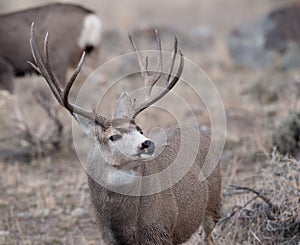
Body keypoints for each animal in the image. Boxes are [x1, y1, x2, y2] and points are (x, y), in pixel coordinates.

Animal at [28, 23, 220, 245]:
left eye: (140, 129)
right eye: (113, 136)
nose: (147, 143)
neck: (124, 226)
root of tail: (198, 132)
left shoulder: (159, 233)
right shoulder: (107, 237)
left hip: (213, 203)